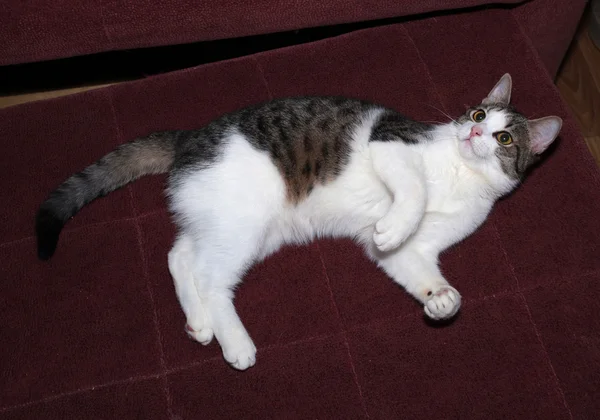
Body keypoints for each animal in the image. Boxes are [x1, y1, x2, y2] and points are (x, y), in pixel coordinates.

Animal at [36, 74, 564, 370]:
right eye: (476, 114)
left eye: (503, 137)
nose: (474, 132)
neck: (460, 173)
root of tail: (190, 137)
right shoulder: (390, 144)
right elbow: (411, 192)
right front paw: (393, 224)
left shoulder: (419, 250)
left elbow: (411, 264)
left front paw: (441, 301)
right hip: (244, 222)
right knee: (208, 277)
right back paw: (235, 343)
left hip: (238, 226)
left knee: (181, 256)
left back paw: (201, 324)